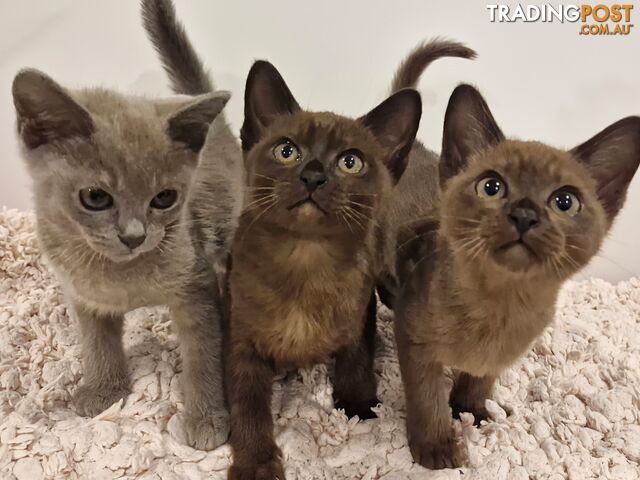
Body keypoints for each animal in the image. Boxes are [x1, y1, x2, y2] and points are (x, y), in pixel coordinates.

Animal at [11, 59, 242, 446]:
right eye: (95, 197)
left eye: (164, 198)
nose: (134, 235)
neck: (123, 278)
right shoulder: (83, 296)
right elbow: (97, 344)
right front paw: (104, 389)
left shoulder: (197, 287)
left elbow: (203, 354)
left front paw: (206, 417)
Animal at [384, 77, 640, 466]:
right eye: (491, 186)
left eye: (565, 201)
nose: (524, 214)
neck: (500, 307)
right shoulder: (415, 343)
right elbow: (427, 401)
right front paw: (436, 448)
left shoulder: (500, 358)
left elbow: (479, 382)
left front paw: (472, 413)